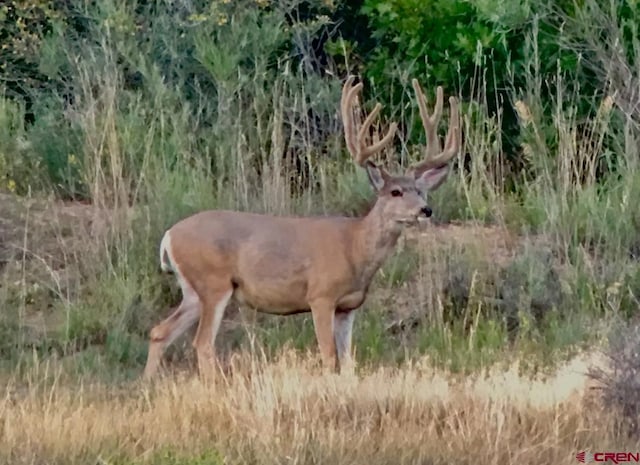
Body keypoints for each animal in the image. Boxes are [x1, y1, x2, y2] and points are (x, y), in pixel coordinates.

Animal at [142, 76, 458, 378]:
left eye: (421, 191)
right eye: (395, 192)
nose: (426, 210)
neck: (355, 247)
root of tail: (169, 236)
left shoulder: (348, 306)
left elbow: (348, 362)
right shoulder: (320, 295)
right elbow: (329, 357)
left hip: (193, 291)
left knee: (159, 331)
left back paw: (149, 384)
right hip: (213, 282)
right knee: (202, 342)